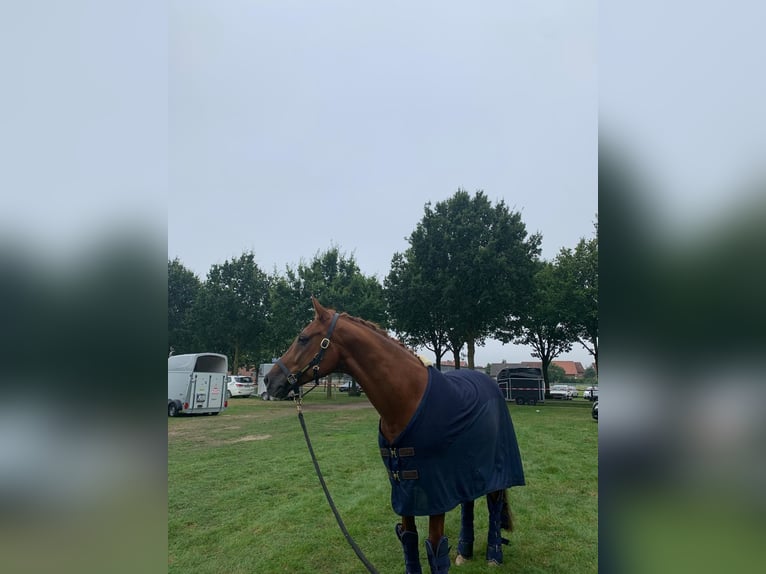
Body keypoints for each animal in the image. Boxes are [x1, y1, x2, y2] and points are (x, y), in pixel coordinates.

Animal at [265, 298, 525, 573]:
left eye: (303, 338)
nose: (270, 380)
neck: (406, 399)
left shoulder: (436, 493)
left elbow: (435, 547)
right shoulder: (405, 492)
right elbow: (409, 540)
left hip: (495, 469)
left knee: (494, 504)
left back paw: (493, 554)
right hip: (467, 470)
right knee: (468, 503)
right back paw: (464, 552)